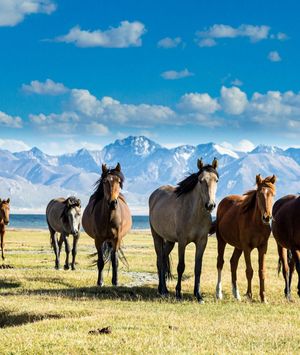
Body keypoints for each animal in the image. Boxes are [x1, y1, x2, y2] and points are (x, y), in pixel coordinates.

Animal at [149, 159, 218, 304]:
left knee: (163, 260)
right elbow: (181, 266)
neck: (194, 214)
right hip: (156, 237)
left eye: (216, 180)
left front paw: (198, 295)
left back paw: (164, 289)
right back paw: (162, 290)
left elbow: (198, 268)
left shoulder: (202, 242)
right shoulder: (182, 242)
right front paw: (178, 293)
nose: (210, 205)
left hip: (169, 241)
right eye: (201, 180)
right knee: (159, 261)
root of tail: (155, 194)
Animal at [214, 175, 276, 304]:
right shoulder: (247, 248)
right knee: (220, 262)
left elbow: (262, 271)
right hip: (221, 240)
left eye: (273, 194)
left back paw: (236, 294)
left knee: (233, 262)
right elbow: (249, 271)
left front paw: (263, 297)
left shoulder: (263, 247)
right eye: (259, 194)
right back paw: (219, 293)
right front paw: (249, 295)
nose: (267, 217)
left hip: (238, 246)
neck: (255, 223)